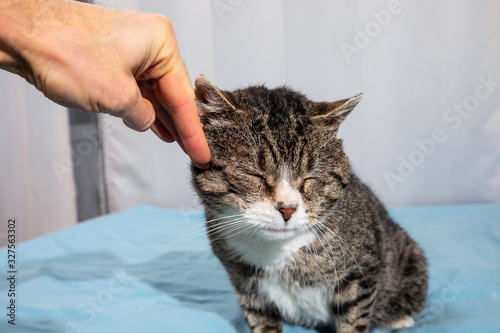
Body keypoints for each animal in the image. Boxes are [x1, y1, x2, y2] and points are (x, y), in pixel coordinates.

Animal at [189, 76, 428, 332]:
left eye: (309, 179)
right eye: (255, 176)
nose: (287, 209)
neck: (278, 253)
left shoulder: (360, 271)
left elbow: (353, 321)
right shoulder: (246, 286)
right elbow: (261, 321)